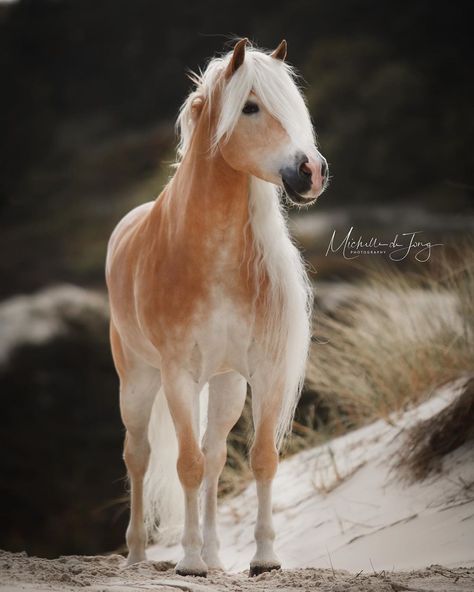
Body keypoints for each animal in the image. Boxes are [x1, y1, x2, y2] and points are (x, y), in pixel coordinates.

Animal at [105, 38, 328, 580]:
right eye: (249, 107)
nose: (311, 172)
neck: (213, 257)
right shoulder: (179, 375)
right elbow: (184, 465)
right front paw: (187, 563)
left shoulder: (265, 371)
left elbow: (261, 457)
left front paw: (264, 558)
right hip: (138, 382)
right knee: (139, 455)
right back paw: (139, 556)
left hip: (225, 386)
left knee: (213, 453)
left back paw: (213, 553)